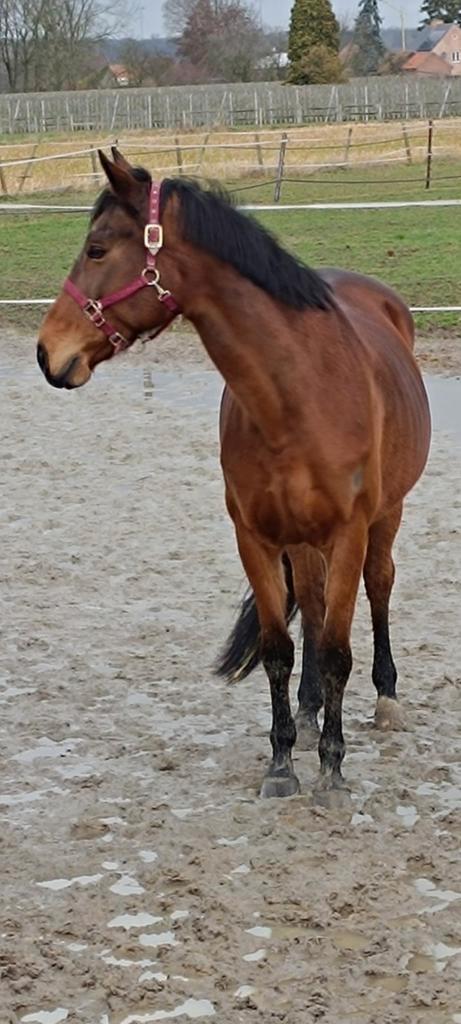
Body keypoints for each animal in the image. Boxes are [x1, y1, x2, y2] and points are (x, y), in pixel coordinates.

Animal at [37, 149, 431, 803]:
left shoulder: (348, 532)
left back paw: (386, 698)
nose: (48, 352)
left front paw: (331, 770)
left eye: (96, 249)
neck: (298, 394)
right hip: (303, 542)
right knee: (314, 609)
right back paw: (309, 709)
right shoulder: (256, 538)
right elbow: (279, 650)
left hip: (385, 517)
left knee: (379, 588)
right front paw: (283, 763)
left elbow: (338, 651)